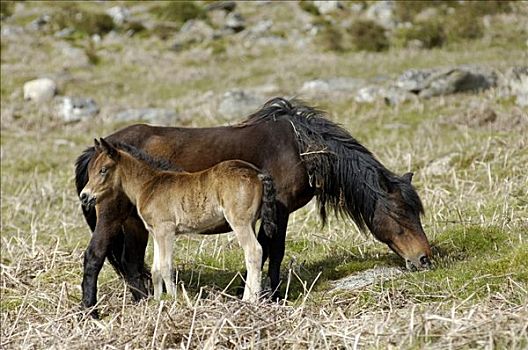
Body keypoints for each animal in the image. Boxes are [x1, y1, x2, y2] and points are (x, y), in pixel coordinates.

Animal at [81, 138, 278, 302]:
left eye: (103, 170)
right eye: (90, 171)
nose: (84, 196)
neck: (149, 185)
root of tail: (257, 173)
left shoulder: (166, 230)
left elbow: (166, 267)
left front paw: (174, 300)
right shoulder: (155, 232)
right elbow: (156, 269)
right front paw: (158, 301)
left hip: (239, 222)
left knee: (254, 251)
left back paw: (249, 300)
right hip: (249, 223)